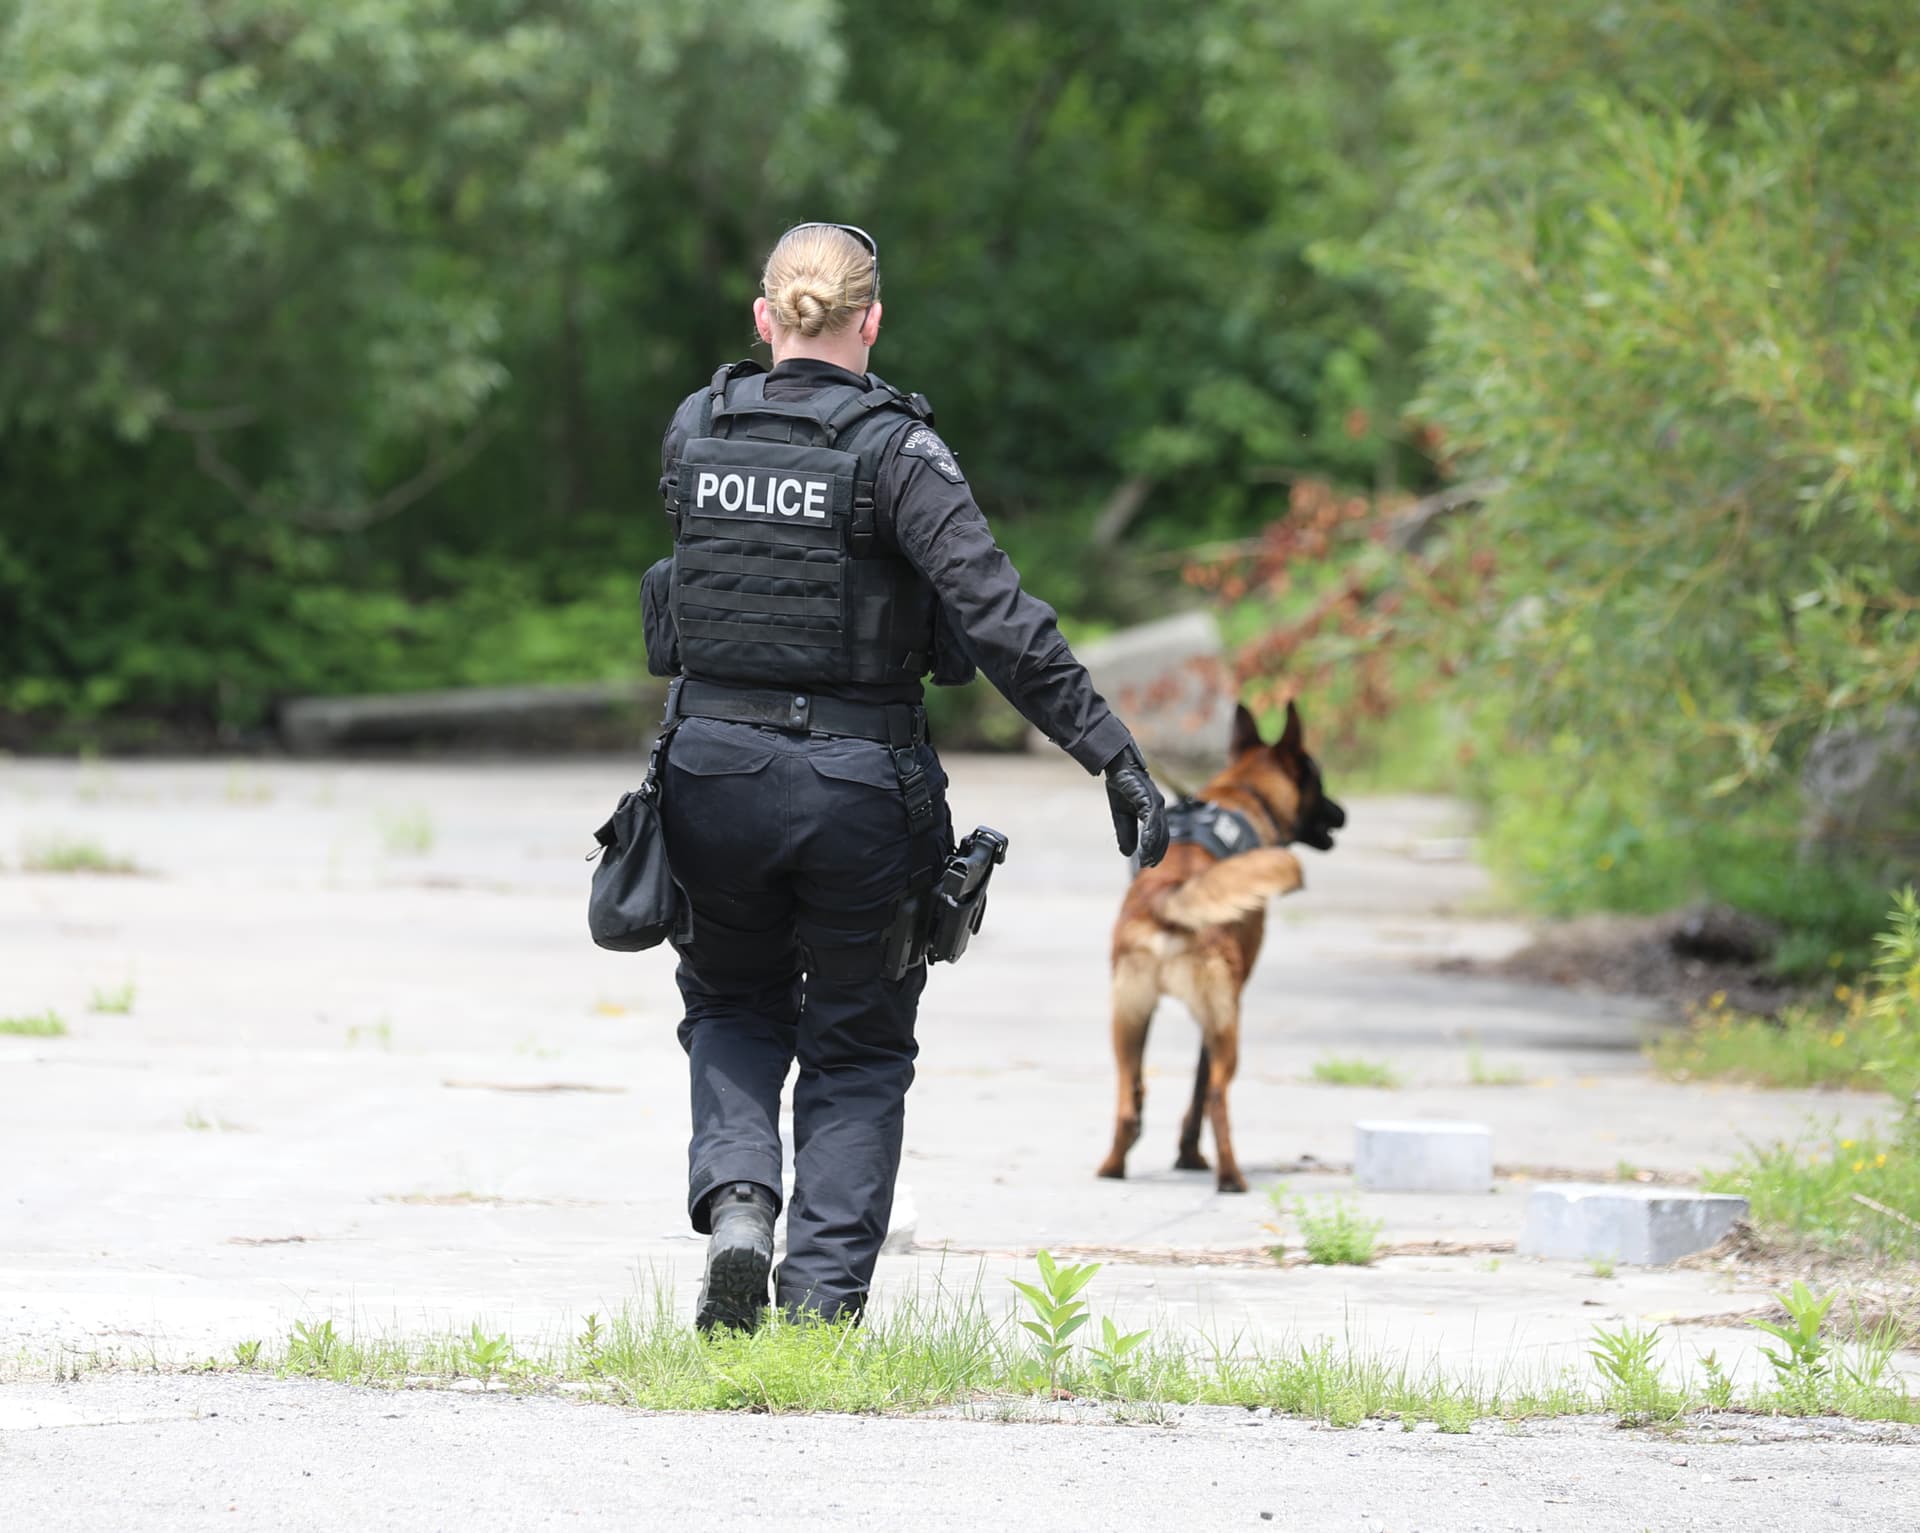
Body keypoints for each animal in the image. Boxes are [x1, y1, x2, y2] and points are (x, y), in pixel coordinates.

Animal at [1098, 703, 1351, 1191]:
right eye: (1319, 782)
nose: (1343, 813)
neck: (1243, 791)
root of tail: (1169, 897)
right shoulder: (1223, 1010)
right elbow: (1199, 1088)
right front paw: (1189, 1155)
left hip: (1127, 1021)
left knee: (1126, 1099)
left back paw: (1112, 1167)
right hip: (1224, 1024)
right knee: (1216, 1096)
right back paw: (1231, 1178)